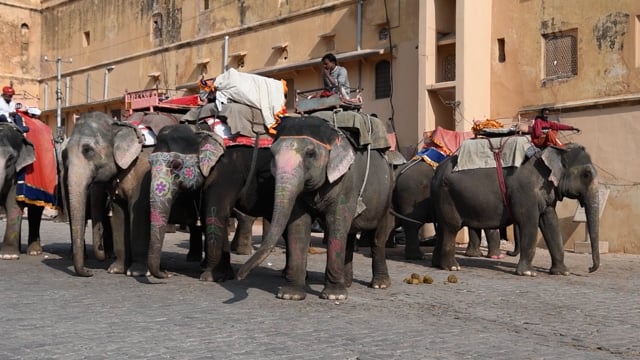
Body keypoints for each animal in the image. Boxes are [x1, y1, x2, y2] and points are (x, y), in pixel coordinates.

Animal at [64, 111, 200, 278]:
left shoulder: (143, 175)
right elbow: (119, 214)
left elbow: (139, 213)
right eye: (65, 154)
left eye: (87, 150)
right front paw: (116, 270)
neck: (119, 126)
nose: (90, 272)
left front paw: (137, 272)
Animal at [238, 115, 398, 300]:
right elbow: (299, 226)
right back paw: (347, 283)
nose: (240, 277)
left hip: (388, 193)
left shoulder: (346, 182)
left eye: (310, 154)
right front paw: (290, 295)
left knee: (377, 238)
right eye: (272, 153)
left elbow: (336, 223)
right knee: (349, 235)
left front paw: (334, 296)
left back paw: (380, 284)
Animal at [430, 142, 600, 278]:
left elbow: (551, 222)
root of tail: (437, 170)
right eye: (586, 175)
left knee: (442, 228)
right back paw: (453, 267)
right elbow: (529, 222)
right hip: (447, 196)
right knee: (451, 228)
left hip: (440, 197)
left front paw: (563, 272)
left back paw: (437, 265)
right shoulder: (525, 192)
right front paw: (529, 273)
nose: (589, 269)